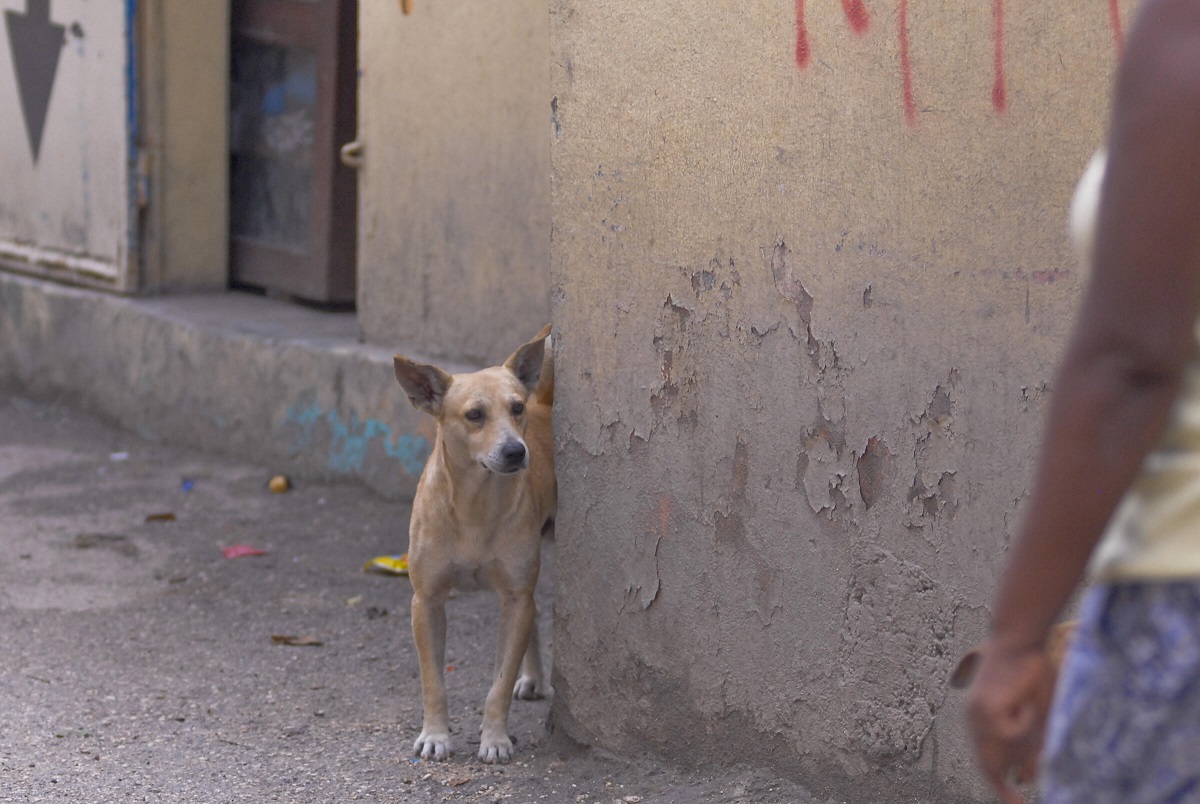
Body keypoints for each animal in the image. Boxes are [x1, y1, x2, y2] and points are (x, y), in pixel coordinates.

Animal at [393, 325, 555, 765]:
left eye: (516, 408)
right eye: (474, 415)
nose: (516, 450)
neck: (475, 507)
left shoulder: (516, 597)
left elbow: (499, 683)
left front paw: (495, 738)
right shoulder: (426, 601)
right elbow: (433, 681)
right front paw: (435, 735)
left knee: (534, 616)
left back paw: (533, 677)